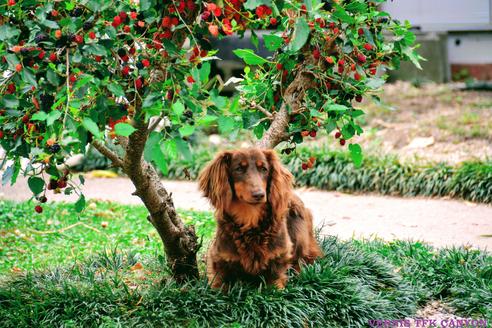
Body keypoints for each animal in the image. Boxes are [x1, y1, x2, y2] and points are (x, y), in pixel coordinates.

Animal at [198, 147, 320, 288]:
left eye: (264, 169)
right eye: (239, 169)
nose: (259, 194)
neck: (250, 222)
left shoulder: (279, 258)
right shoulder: (218, 261)